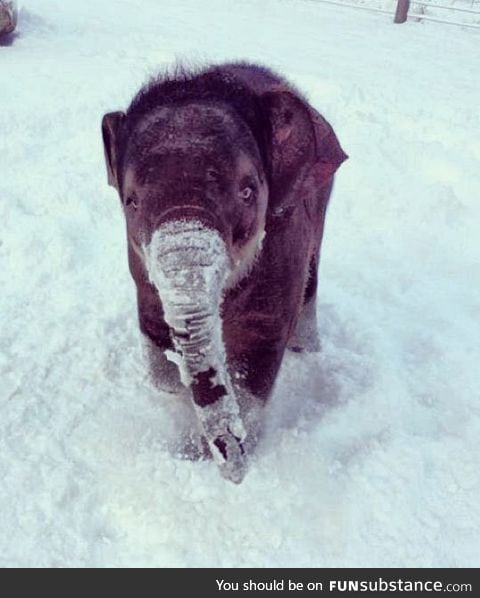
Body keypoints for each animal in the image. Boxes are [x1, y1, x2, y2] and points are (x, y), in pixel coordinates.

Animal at [102, 62, 344, 482]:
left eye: (247, 192)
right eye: (132, 202)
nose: (235, 473)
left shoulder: (284, 245)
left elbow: (256, 359)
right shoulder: (139, 268)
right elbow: (155, 337)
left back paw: (306, 351)